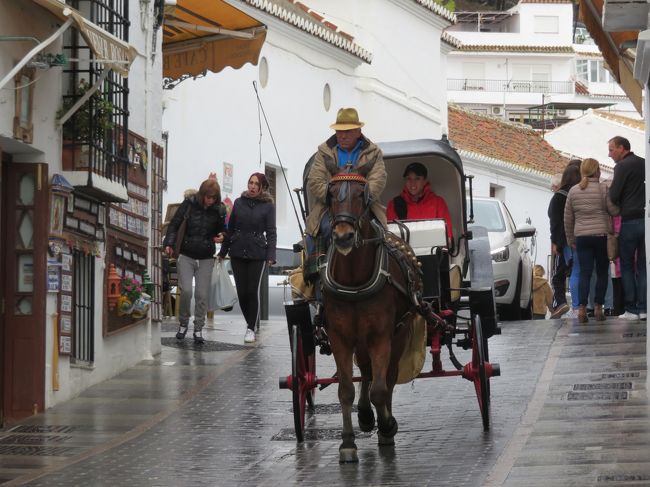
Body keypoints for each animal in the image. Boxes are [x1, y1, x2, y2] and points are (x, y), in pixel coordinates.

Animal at [318, 173, 420, 466]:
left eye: (361, 195)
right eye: (330, 195)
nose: (343, 236)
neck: (354, 280)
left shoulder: (381, 337)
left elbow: (380, 389)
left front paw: (387, 426)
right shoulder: (340, 338)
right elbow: (345, 390)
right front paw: (347, 443)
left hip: (398, 334)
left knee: (388, 377)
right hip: (360, 340)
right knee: (365, 371)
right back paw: (364, 414)